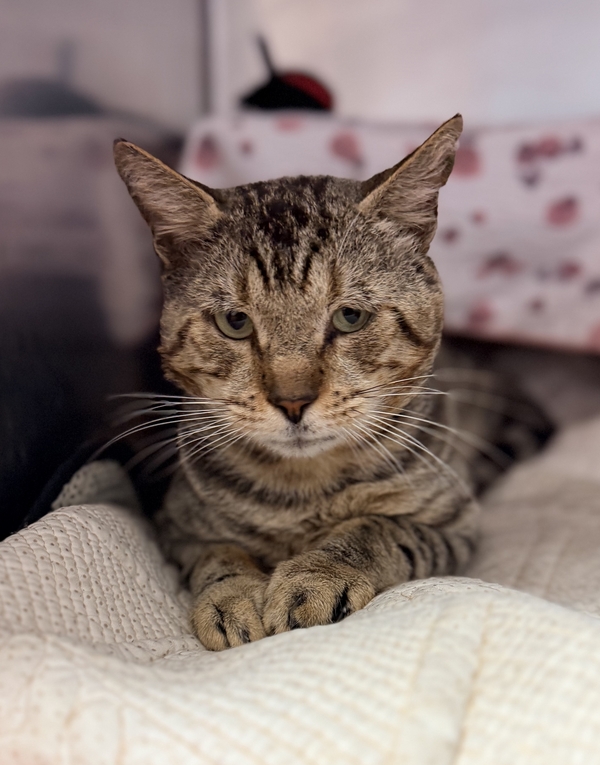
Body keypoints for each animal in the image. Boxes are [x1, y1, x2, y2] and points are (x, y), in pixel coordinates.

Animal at [114, 115, 550, 651]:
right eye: (235, 322)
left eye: (349, 317)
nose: (292, 401)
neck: (303, 492)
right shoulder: (177, 526)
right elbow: (218, 554)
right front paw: (230, 596)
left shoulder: (454, 522)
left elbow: (375, 528)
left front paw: (318, 576)